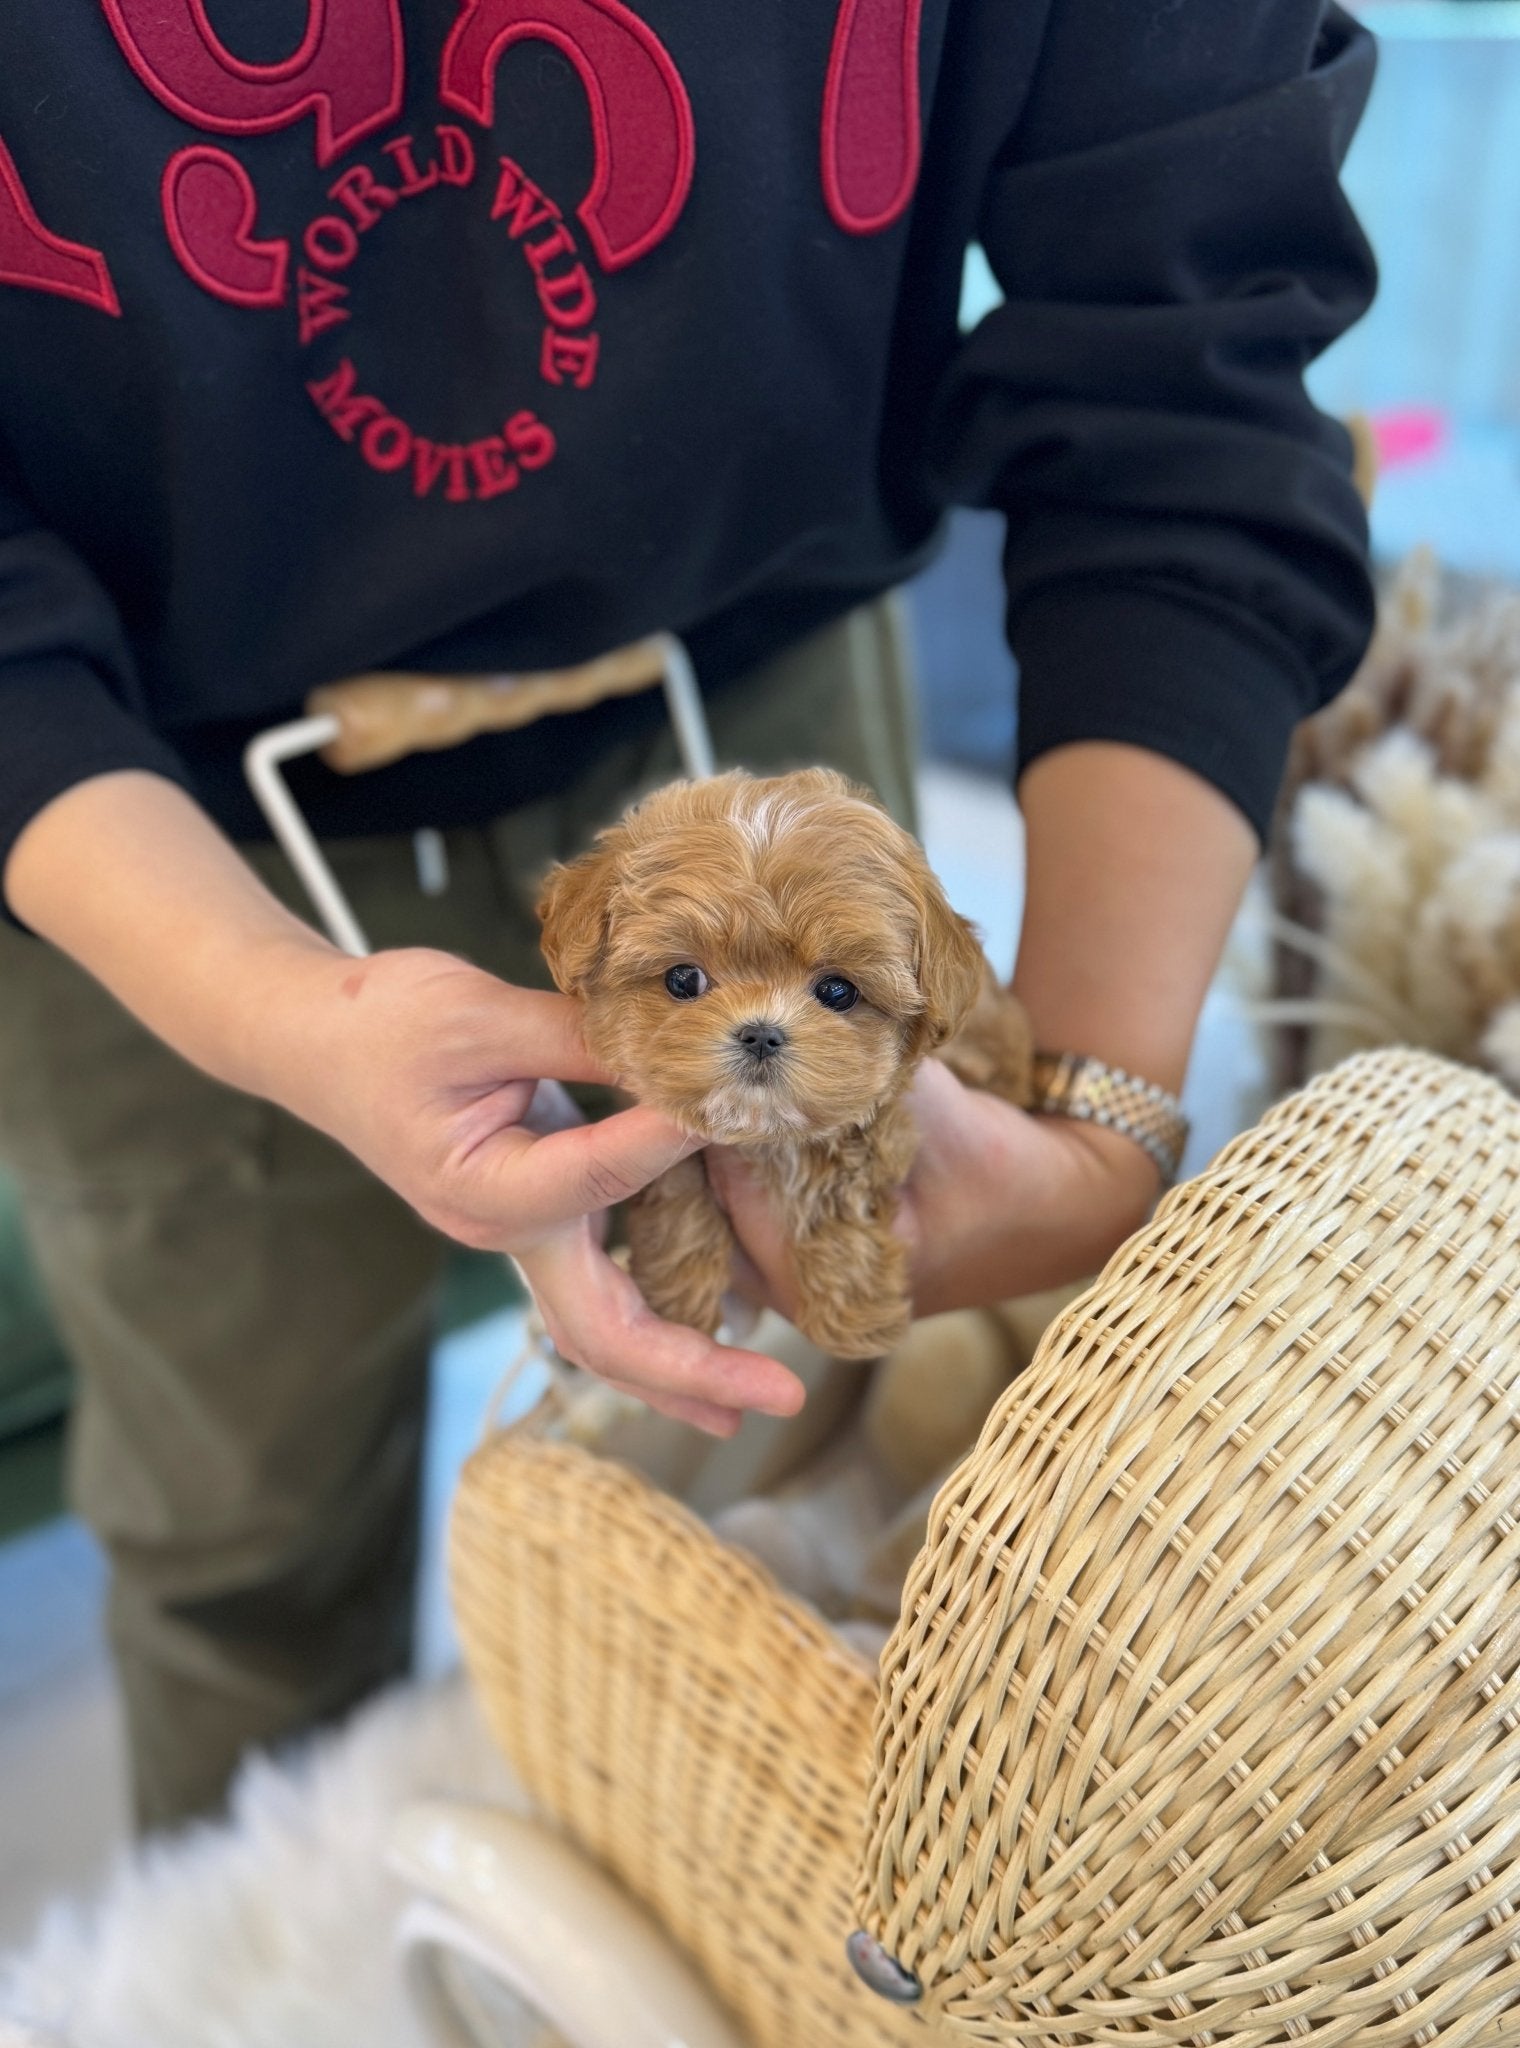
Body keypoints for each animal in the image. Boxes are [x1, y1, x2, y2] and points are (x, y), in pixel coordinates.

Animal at [540, 770, 1036, 1359]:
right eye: (684, 979)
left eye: (838, 991)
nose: (761, 1034)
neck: (762, 1136)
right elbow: (678, 1190)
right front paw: (676, 1298)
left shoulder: (878, 1128)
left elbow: (834, 1195)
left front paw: (854, 1323)